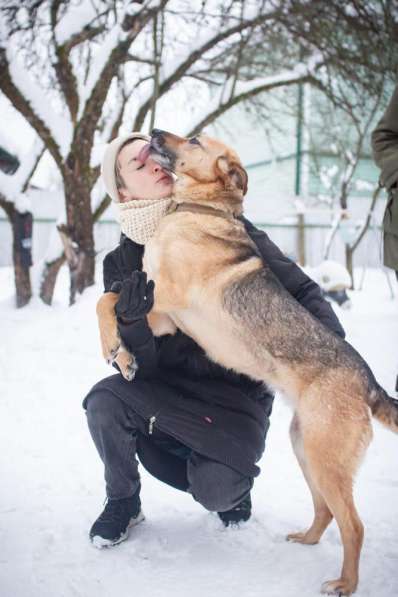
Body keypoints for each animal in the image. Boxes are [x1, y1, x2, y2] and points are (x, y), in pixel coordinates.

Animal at [96, 129, 398, 592]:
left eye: (195, 140)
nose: (154, 133)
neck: (195, 208)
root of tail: (367, 380)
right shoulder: (157, 313)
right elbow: (113, 302)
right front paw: (125, 357)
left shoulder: (163, 297)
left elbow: (107, 300)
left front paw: (111, 345)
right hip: (306, 449)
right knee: (326, 510)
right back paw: (307, 539)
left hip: (325, 458)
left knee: (354, 525)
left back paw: (345, 584)